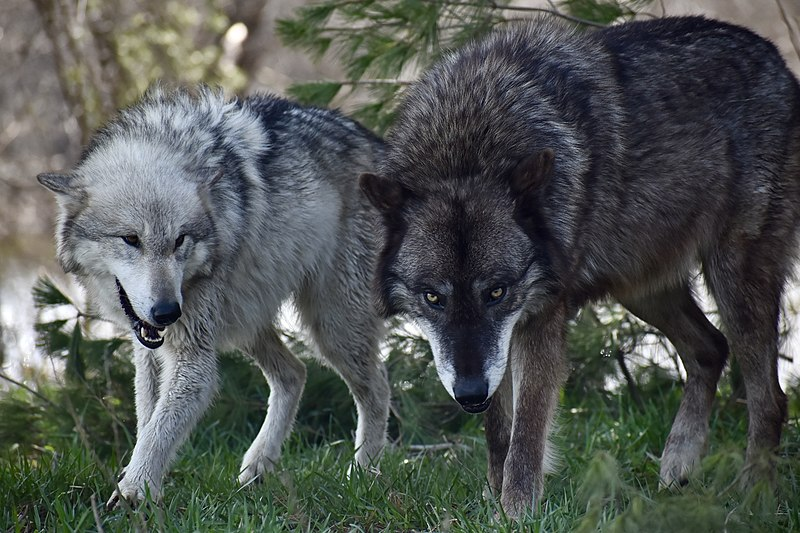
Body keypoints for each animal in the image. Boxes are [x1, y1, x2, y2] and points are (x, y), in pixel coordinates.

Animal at [39, 86, 392, 508]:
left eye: (180, 241)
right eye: (130, 239)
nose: (167, 312)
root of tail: (381, 146)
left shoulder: (194, 357)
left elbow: (159, 430)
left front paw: (133, 492)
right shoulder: (150, 349)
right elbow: (148, 419)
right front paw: (139, 481)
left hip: (330, 327)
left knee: (378, 387)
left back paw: (363, 472)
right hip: (245, 321)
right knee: (295, 372)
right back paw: (258, 466)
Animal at [360, 16, 800, 516]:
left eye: (496, 291)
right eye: (432, 297)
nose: (469, 394)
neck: (467, 145)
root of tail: (777, 60)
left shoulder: (539, 318)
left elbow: (527, 434)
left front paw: (517, 513)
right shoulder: (498, 348)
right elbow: (498, 432)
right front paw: (497, 501)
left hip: (732, 276)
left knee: (770, 398)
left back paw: (753, 495)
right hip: (641, 289)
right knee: (710, 348)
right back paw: (678, 462)